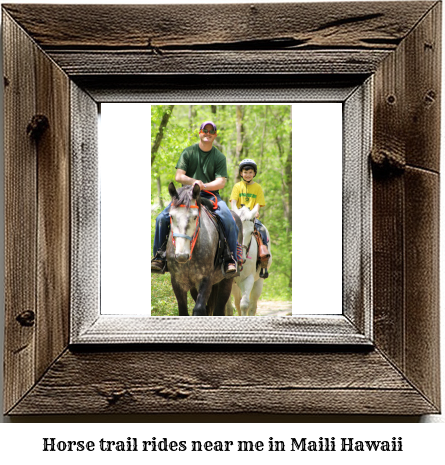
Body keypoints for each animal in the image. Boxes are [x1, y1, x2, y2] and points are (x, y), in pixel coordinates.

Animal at [167, 181, 243, 316]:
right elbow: (183, 311)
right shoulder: (177, 282)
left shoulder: (206, 280)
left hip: (226, 280)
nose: (182, 256)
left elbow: (199, 310)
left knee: (219, 310)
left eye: (194, 217)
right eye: (171, 216)